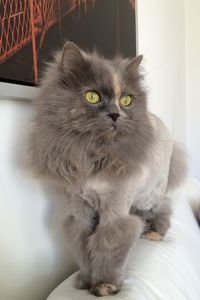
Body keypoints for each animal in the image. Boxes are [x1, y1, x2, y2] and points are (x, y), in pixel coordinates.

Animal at [28, 42, 187, 298]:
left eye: (126, 100)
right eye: (92, 96)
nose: (115, 114)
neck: (96, 155)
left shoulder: (115, 213)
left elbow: (107, 249)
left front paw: (104, 286)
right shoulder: (80, 213)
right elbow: (83, 249)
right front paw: (85, 281)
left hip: (150, 192)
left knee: (164, 205)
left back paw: (156, 233)